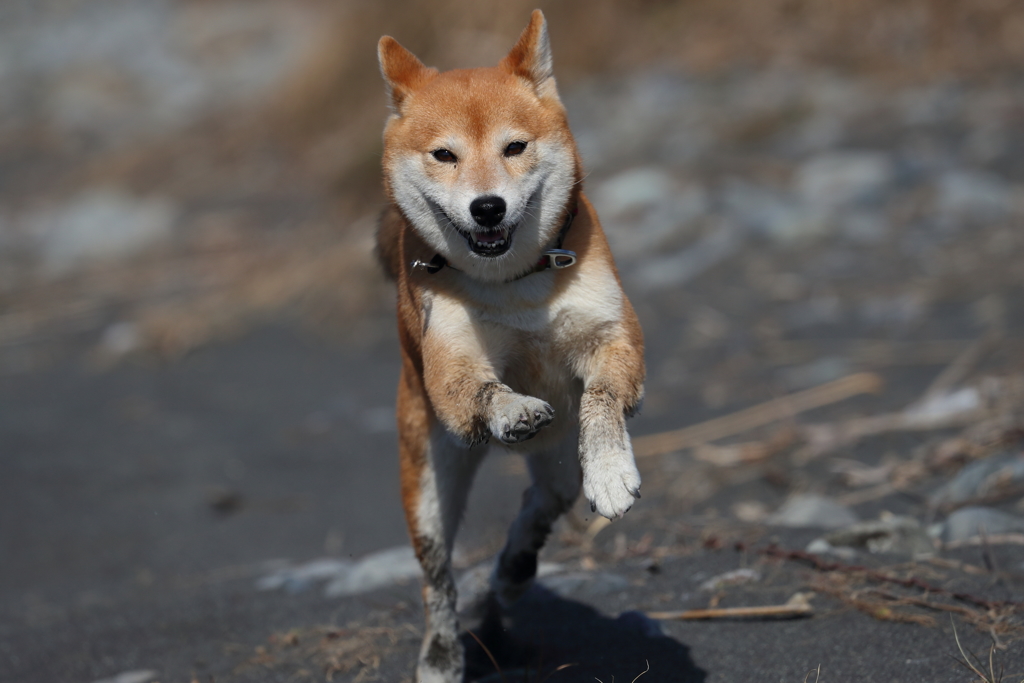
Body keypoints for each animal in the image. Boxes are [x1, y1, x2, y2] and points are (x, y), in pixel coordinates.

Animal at [376, 9, 643, 679]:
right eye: (444, 155)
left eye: (514, 147)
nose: (488, 207)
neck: (514, 286)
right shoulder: (451, 366)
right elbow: (483, 390)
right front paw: (513, 408)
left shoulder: (614, 339)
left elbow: (601, 400)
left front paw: (611, 472)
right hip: (429, 482)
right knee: (437, 580)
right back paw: (441, 654)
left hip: (556, 465)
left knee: (539, 503)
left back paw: (516, 566)